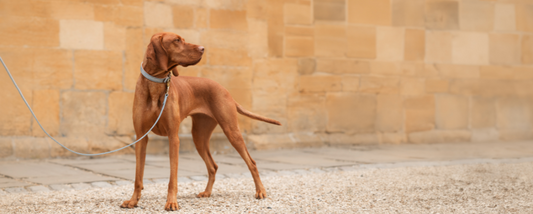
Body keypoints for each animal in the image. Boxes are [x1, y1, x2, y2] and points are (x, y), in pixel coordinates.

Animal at [119, 32, 280, 211]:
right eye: (177, 40)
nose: (203, 48)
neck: (156, 82)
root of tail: (224, 89)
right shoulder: (141, 137)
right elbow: (138, 176)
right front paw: (133, 201)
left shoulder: (173, 137)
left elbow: (172, 177)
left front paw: (171, 202)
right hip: (199, 137)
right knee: (213, 166)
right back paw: (207, 192)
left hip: (231, 131)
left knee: (251, 162)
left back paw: (260, 191)